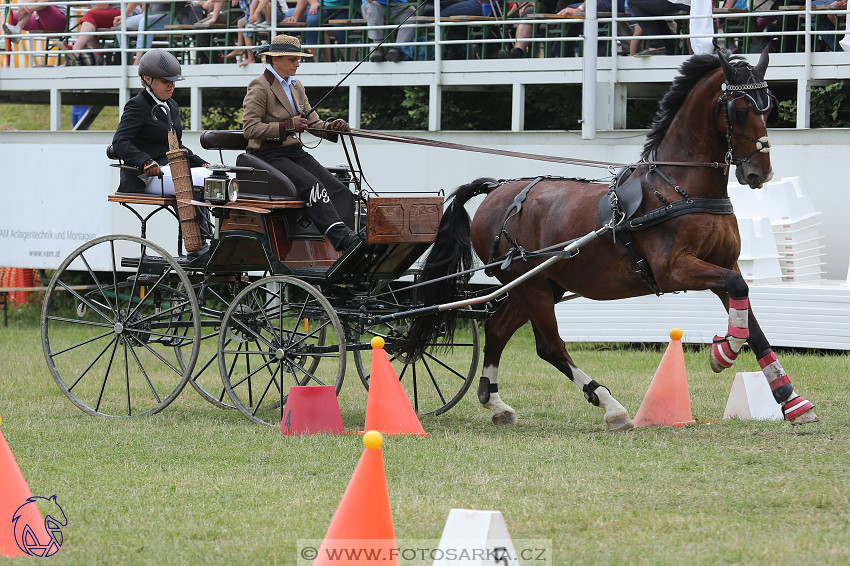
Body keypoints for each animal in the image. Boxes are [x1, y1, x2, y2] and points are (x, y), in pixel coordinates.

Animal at [404, 50, 816, 430]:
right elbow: (738, 293)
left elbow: (750, 319)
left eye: (769, 108)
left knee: (498, 329)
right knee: (549, 346)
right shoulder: (676, 270)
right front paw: (724, 352)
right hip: (531, 285)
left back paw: (496, 402)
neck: (680, 187)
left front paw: (790, 399)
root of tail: (497, 190)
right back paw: (609, 405)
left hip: (539, 283)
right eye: (738, 109)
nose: (759, 172)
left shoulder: (721, 265)